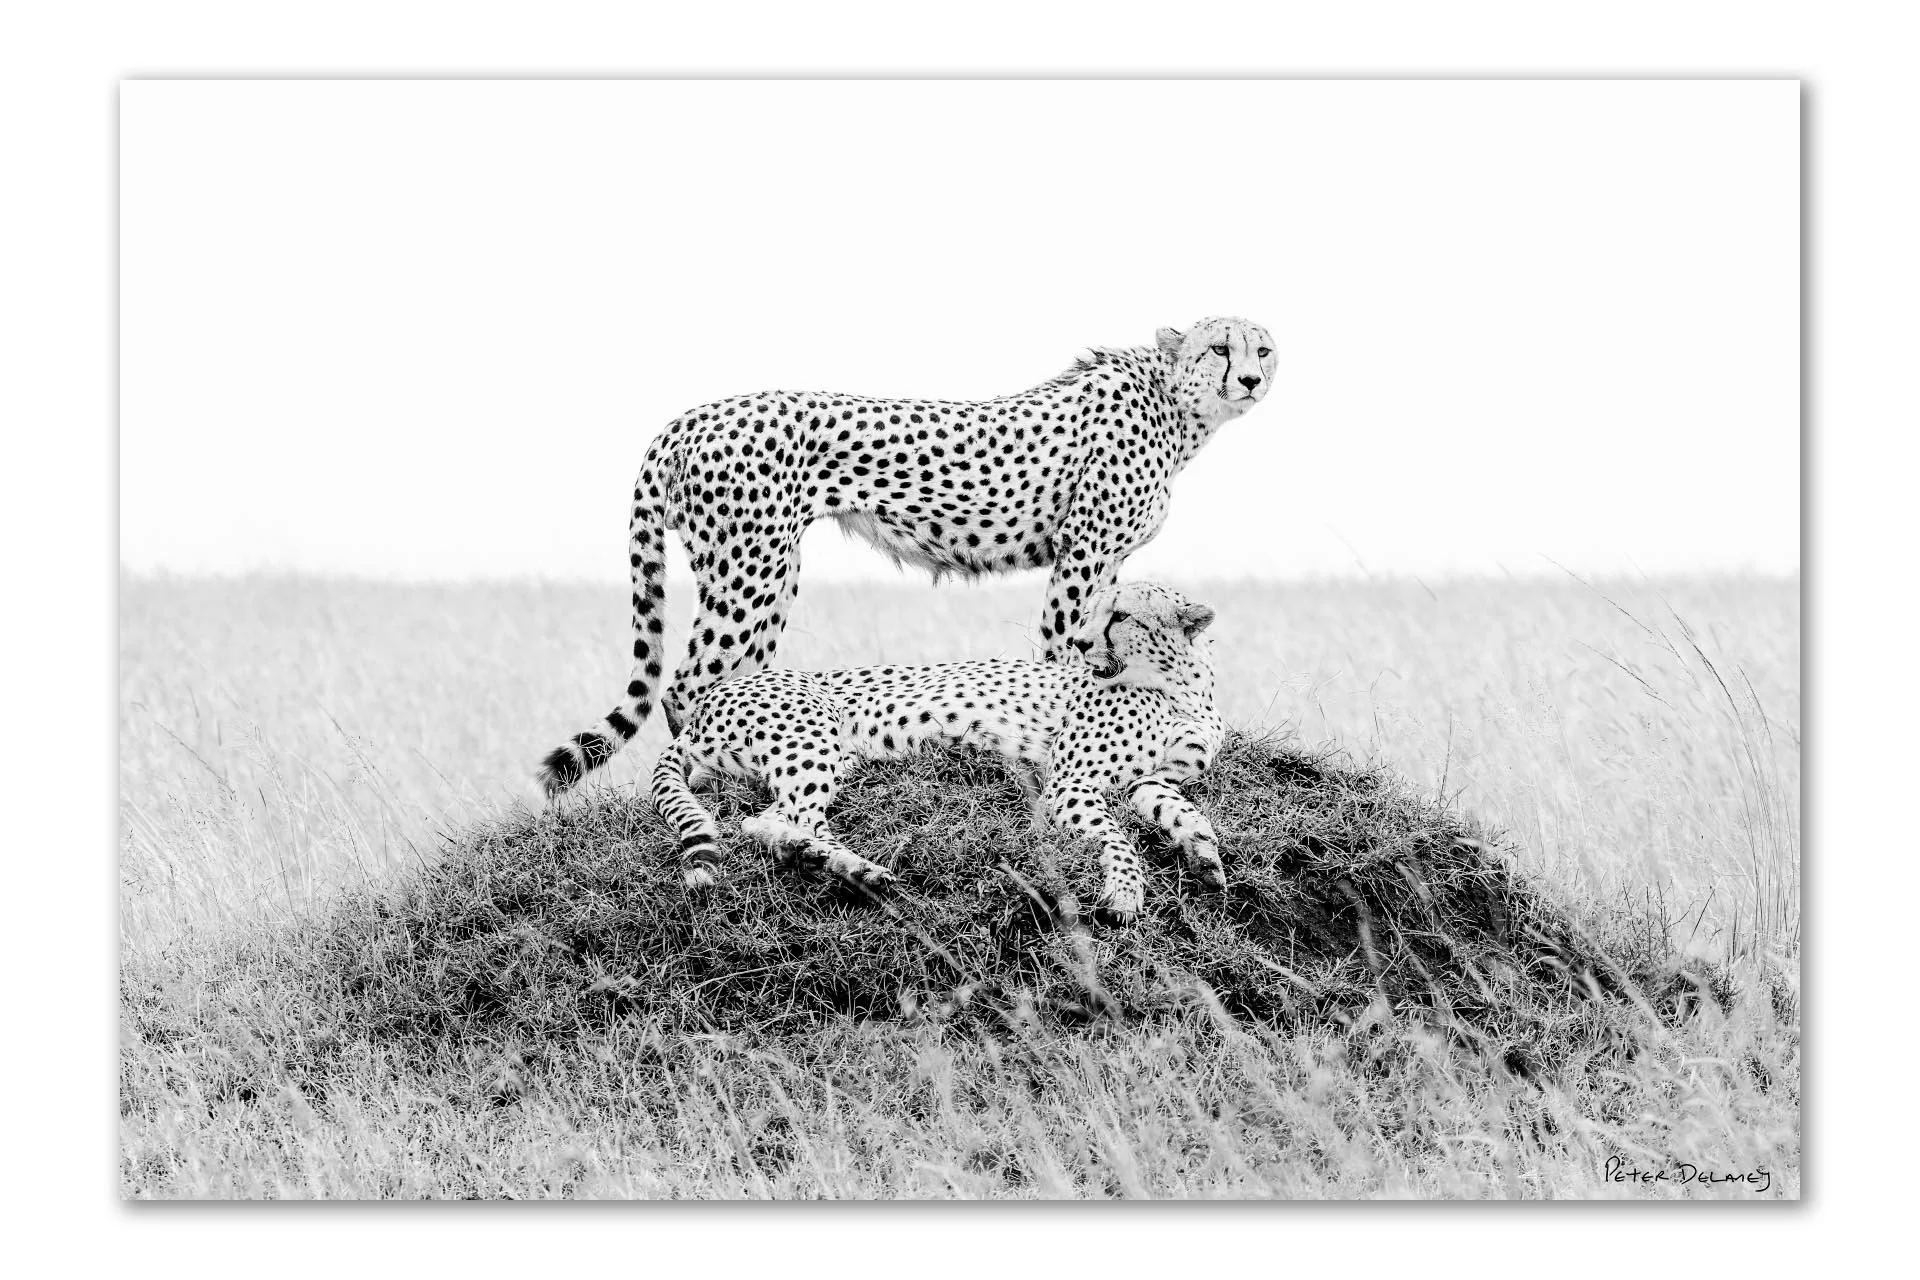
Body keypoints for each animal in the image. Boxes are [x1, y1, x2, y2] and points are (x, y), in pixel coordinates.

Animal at [536, 317, 1274, 796]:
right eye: (1219, 347)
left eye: (1263, 348)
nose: (1251, 378)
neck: (1175, 405)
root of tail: (690, 415)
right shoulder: (1084, 553)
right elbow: (1065, 647)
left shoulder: (1109, 560)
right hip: (752, 564)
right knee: (688, 682)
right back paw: (708, 781)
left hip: (767, 570)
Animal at [649, 581, 1225, 923]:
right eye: (1091, 613)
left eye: (1121, 615)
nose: (1080, 644)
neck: (1179, 686)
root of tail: (705, 702)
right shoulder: (1070, 783)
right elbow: (1120, 839)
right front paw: (1125, 893)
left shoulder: (1153, 779)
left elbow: (1184, 812)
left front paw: (1205, 856)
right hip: (814, 738)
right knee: (774, 818)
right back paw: (853, 867)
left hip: (836, 758)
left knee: (772, 820)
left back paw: (820, 858)